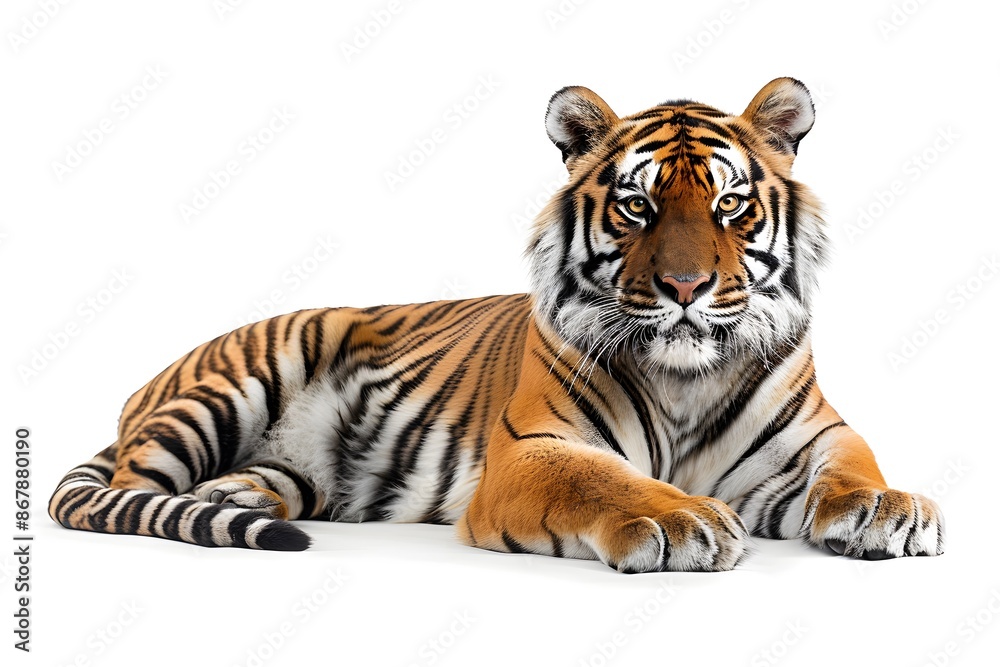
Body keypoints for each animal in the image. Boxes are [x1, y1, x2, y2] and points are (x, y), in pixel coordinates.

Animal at [49, 78, 945, 572]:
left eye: (729, 205)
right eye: (637, 205)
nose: (686, 286)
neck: (687, 377)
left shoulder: (814, 439)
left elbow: (853, 466)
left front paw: (888, 507)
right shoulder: (533, 450)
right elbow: (606, 480)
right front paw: (678, 518)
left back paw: (242, 496)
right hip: (236, 380)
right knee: (126, 494)